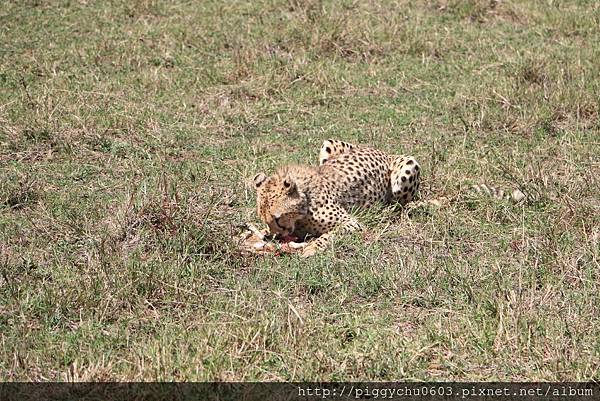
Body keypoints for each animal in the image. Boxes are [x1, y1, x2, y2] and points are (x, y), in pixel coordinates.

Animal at [253, 139, 422, 255]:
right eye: (265, 220)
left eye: (278, 218)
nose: (277, 236)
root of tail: (383, 153)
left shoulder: (352, 224)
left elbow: (329, 235)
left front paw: (313, 247)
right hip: (327, 144)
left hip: (407, 168)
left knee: (401, 203)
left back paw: (385, 210)